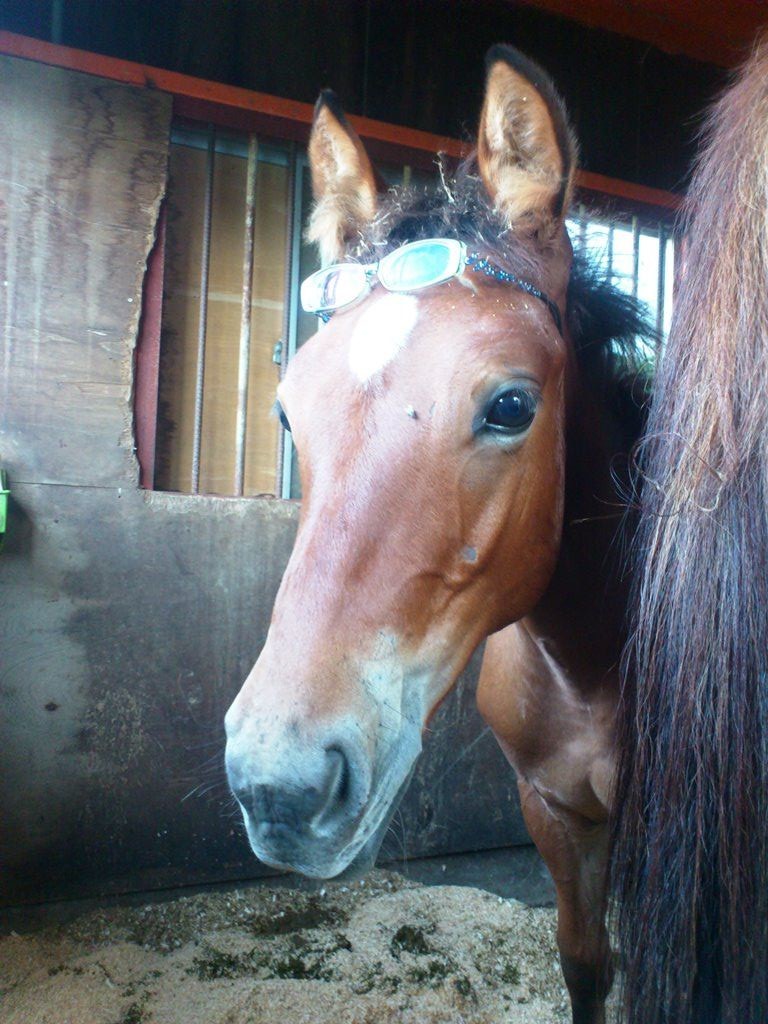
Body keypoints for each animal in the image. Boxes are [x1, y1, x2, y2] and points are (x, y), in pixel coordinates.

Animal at [225, 46, 650, 1024]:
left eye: (511, 406)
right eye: (288, 410)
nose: (279, 786)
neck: (592, 664)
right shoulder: (555, 813)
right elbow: (587, 963)